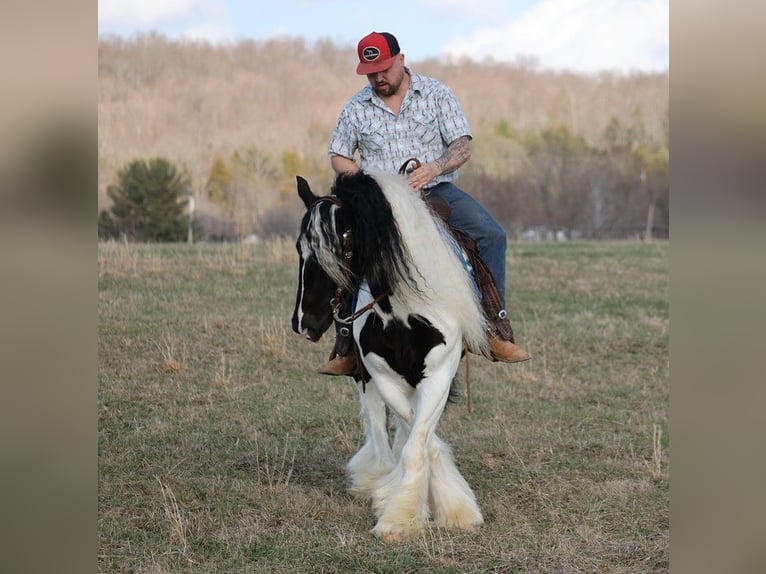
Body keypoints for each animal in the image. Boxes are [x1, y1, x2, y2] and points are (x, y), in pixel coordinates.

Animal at [292, 169, 488, 544]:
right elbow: (415, 436)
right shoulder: (381, 376)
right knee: (379, 426)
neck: (404, 312)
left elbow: (418, 441)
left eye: (339, 247)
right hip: (366, 377)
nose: (304, 322)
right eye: (300, 247)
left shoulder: (439, 375)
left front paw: (432, 514)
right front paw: (400, 509)